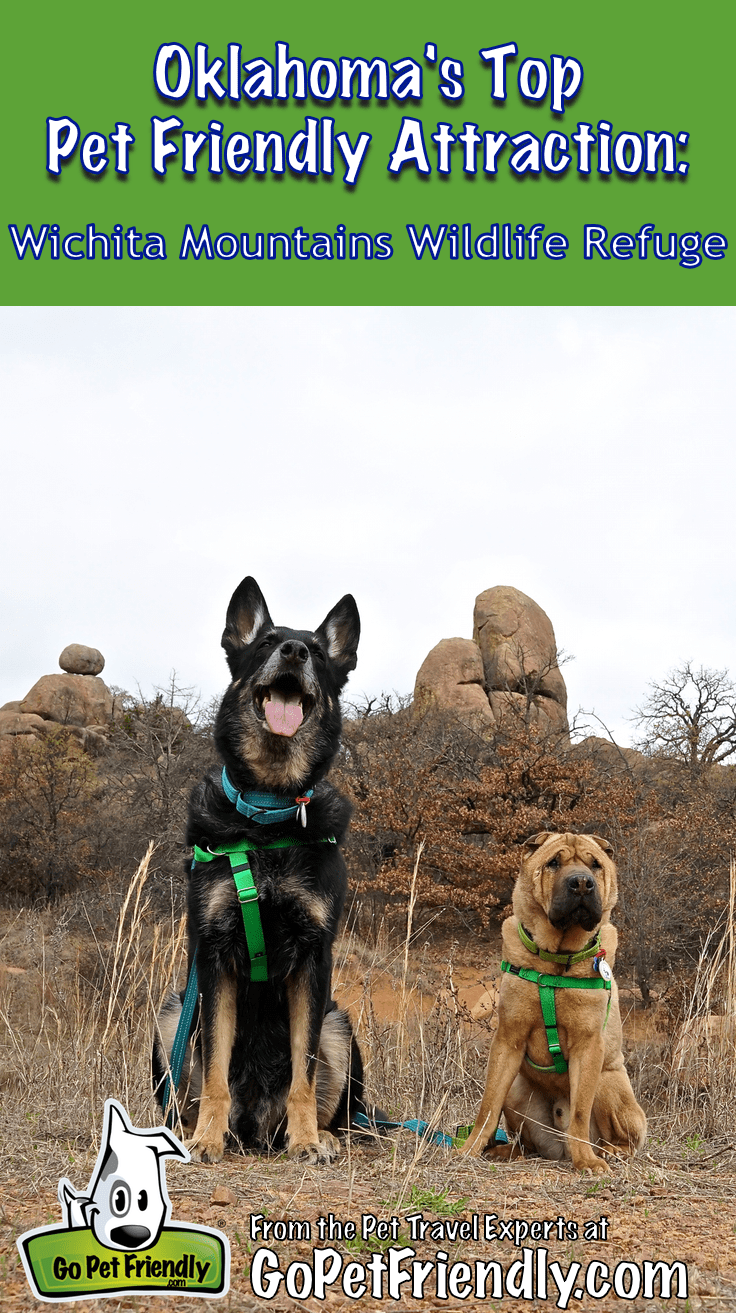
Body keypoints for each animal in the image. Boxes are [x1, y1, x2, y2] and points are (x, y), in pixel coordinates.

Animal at [154, 580, 369, 1165]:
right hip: (170, 1016)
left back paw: (322, 1137)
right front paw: (207, 1139)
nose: (293, 652)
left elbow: (304, 1071)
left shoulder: (313, 960)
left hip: (340, 1025)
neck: (269, 813)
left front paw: (307, 1140)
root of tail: (255, 1126)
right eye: (267, 642)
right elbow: (215, 1071)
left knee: (336, 1104)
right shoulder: (213, 958)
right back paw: (196, 1132)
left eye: (316, 652)